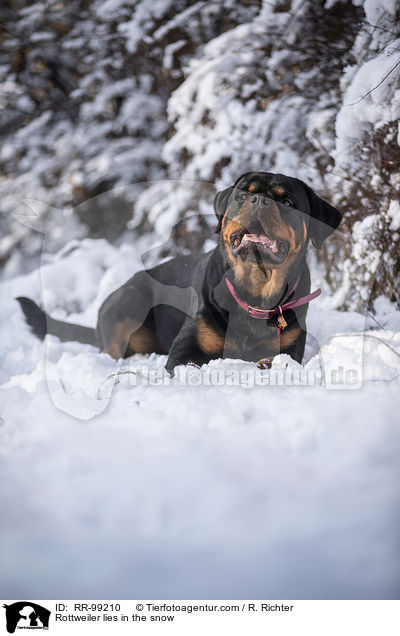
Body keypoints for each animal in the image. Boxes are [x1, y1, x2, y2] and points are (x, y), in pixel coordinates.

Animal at [18, 173, 340, 372]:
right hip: (129, 301)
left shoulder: (290, 348)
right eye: (242, 195)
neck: (255, 291)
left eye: (286, 202)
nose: (259, 200)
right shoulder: (184, 352)